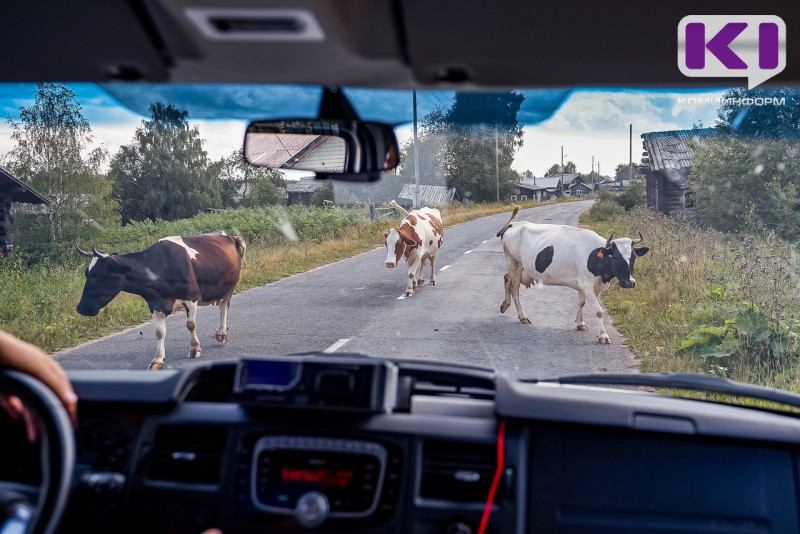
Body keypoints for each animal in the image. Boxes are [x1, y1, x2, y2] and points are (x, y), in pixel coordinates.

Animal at [79, 230, 247, 372]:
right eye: (86, 273)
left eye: (99, 275)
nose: (81, 308)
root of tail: (229, 236)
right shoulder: (155, 304)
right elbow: (159, 332)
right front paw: (158, 360)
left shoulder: (191, 298)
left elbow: (190, 324)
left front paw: (194, 348)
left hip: (229, 288)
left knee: (224, 307)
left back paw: (222, 333)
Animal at [494, 207, 648, 346]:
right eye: (615, 257)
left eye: (634, 257)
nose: (629, 283)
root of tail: (514, 224)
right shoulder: (587, 285)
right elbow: (599, 311)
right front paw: (603, 335)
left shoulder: (587, 285)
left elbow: (581, 303)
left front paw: (580, 323)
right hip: (514, 263)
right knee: (514, 289)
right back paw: (522, 316)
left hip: (520, 269)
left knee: (506, 279)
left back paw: (505, 305)